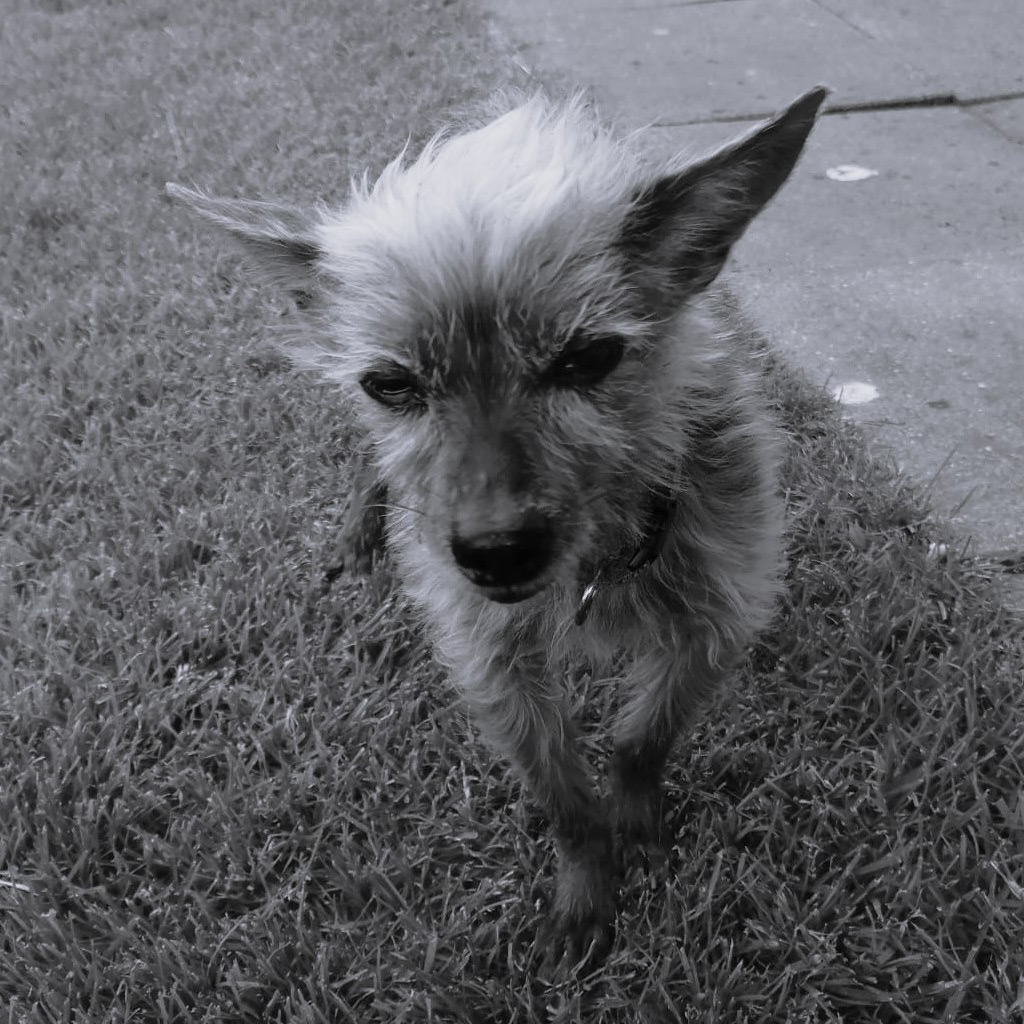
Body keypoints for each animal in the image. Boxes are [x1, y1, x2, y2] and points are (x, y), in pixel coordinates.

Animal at [165, 86, 823, 958]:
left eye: (589, 359)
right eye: (390, 384)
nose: (496, 551)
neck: (592, 566)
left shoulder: (719, 617)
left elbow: (639, 737)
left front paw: (637, 825)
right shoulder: (493, 663)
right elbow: (562, 795)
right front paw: (586, 890)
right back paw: (361, 531)